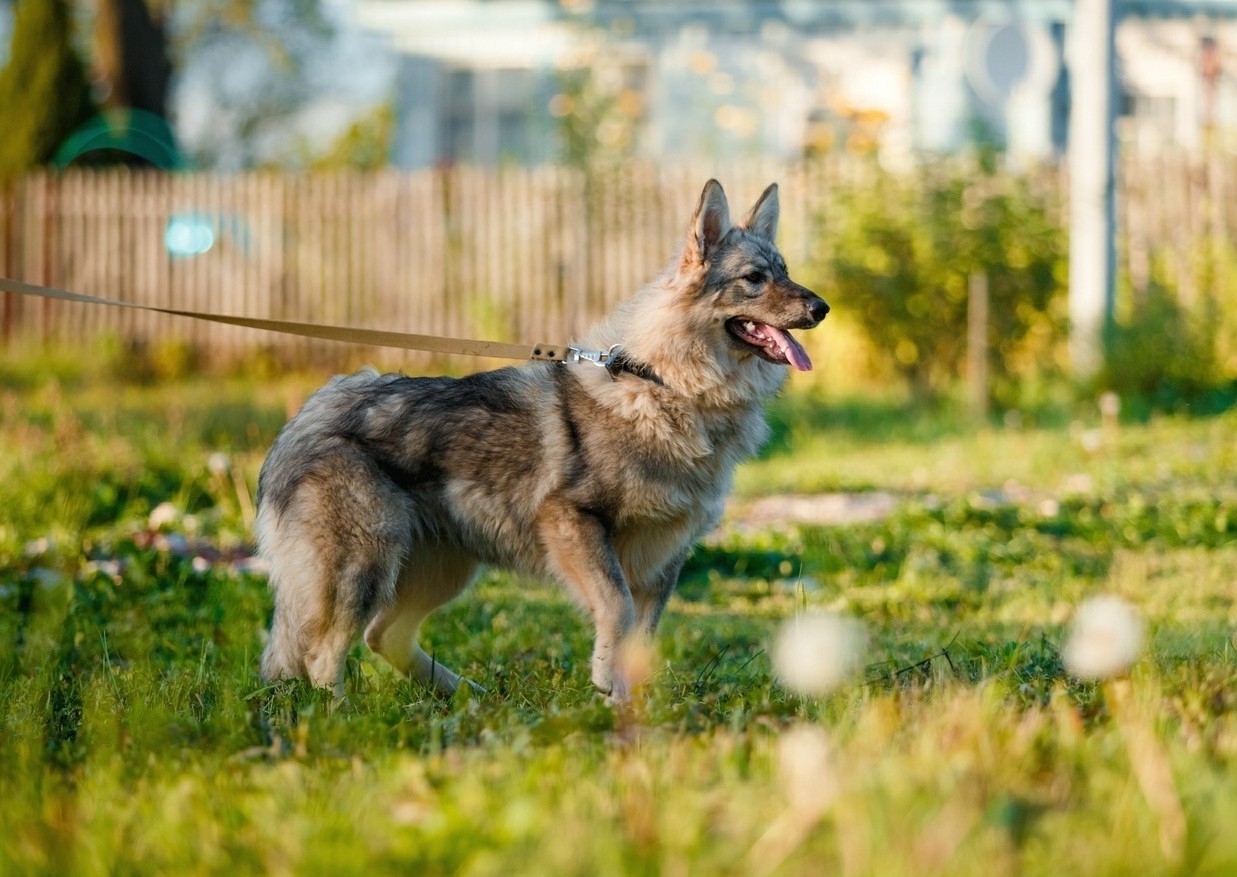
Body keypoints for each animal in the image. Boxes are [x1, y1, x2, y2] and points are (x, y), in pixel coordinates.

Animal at [254, 181, 826, 702]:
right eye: (754, 279)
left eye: (785, 271)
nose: (822, 308)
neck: (668, 385)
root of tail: (304, 419)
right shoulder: (577, 525)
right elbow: (616, 611)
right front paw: (606, 682)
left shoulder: (664, 561)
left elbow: (641, 642)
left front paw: (629, 709)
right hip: (366, 566)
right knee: (323, 654)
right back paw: (342, 716)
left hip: (446, 569)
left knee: (382, 637)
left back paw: (465, 695)